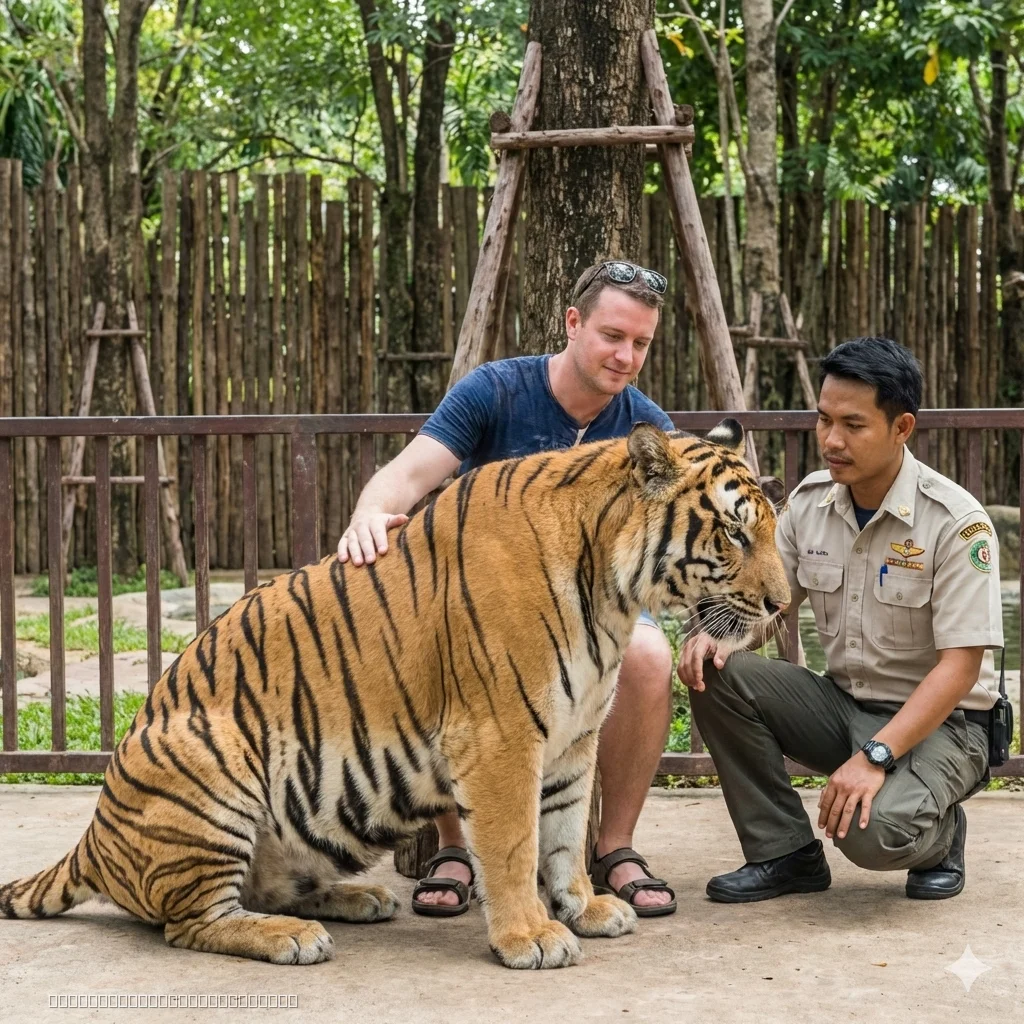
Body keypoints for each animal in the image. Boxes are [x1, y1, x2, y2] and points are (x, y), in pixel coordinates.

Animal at [0, 418, 790, 969]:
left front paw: (585, 908)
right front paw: (530, 936)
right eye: (734, 533)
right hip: (207, 762)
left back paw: (358, 899)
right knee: (188, 922)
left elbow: (565, 834)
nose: (782, 606)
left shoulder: (575, 736)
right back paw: (292, 936)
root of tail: (95, 839)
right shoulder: (501, 735)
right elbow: (514, 845)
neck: (613, 593)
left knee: (256, 887)